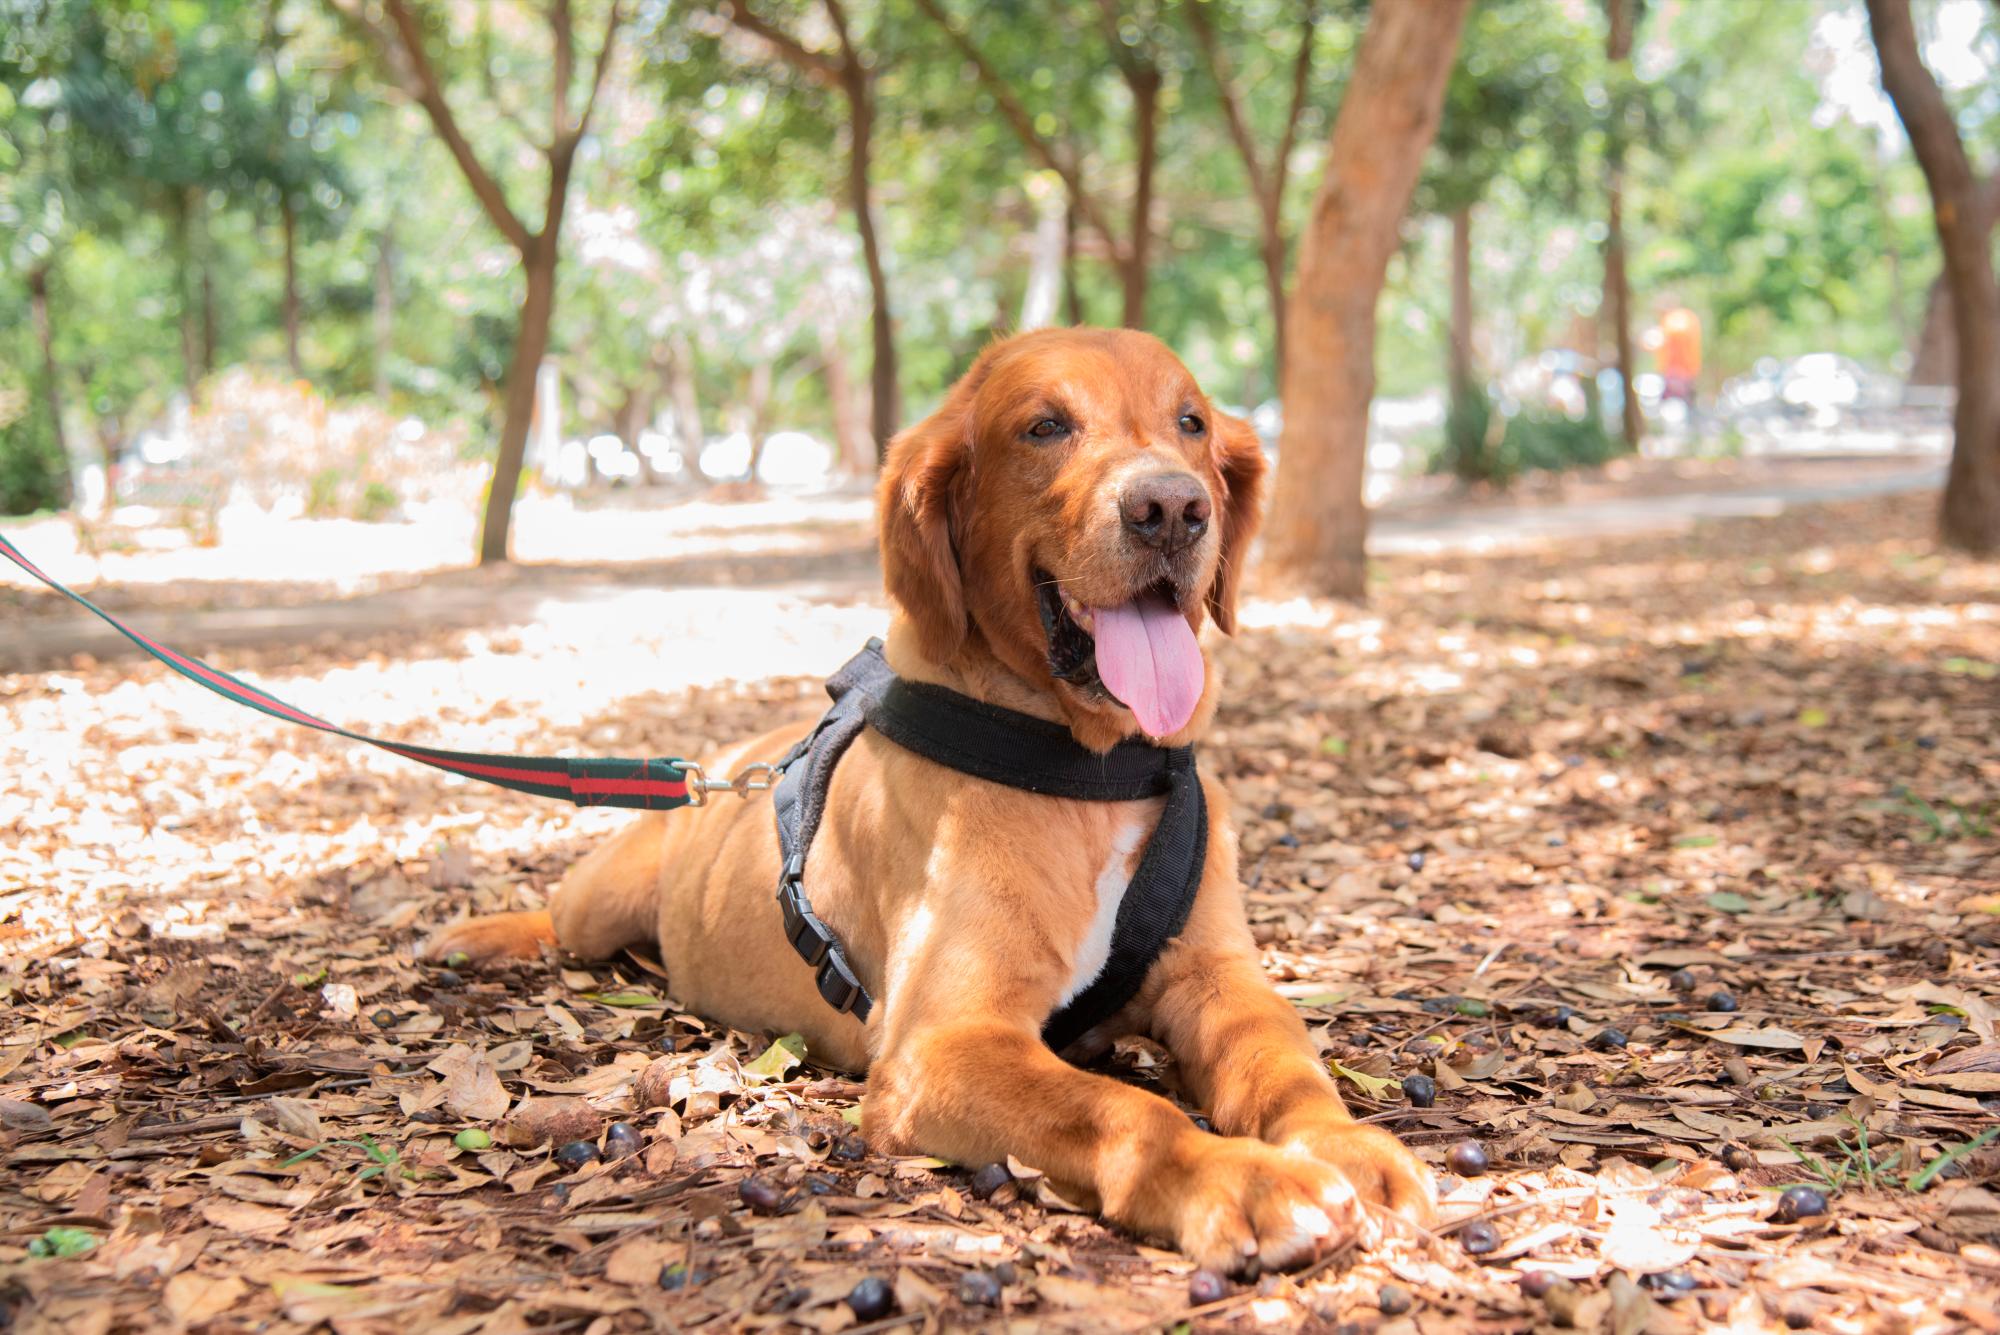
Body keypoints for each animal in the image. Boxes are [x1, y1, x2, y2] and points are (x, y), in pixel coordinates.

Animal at [434, 327, 1440, 1271]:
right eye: (1045, 426)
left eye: (1190, 421)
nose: (1171, 509)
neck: (1089, 771)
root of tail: (722, 767)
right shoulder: (942, 1042)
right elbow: (1123, 1110)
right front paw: (1241, 1177)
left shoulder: (1219, 980)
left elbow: (1286, 1064)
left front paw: (1344, 1143)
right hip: (603, 897)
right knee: (558, 913)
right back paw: (476, 935)